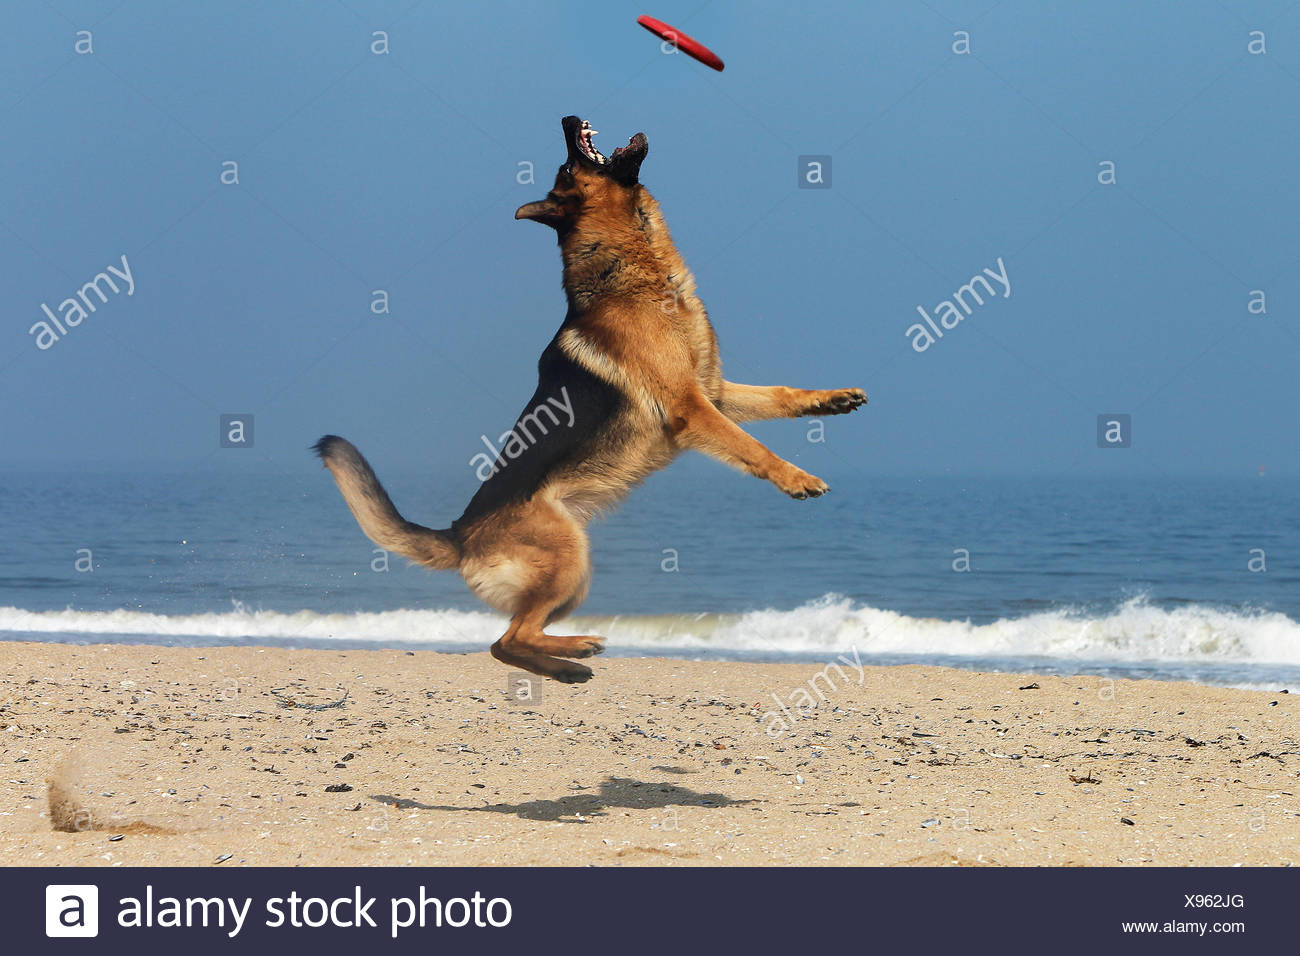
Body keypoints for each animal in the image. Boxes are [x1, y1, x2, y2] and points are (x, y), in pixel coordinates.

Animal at [312, 115, 863, 686]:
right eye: (566, 164)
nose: (567, 119)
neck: (634, 269)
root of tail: (460, 534)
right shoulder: (692, 408)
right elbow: (752, 447)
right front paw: (797, 477)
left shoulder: (712, 390)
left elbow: (780, 394)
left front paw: (830, 400)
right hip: (569, 559)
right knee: (507, 639)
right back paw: (573, 656)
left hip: (574, 575)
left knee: (510, 639)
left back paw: (567, 657)